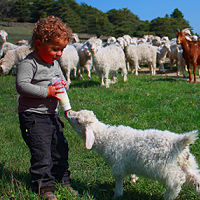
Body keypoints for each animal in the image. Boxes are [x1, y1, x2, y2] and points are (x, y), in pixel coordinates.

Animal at [67, 109, 200, 200]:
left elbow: (118, 178)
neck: (106, 137)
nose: (68, 113)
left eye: (78, 121)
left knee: (178, 179)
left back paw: (168, 196)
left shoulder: (118, 164)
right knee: (195, 178)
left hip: (165, 168)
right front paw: (133, 178)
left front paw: (117, 194)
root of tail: (178, 142)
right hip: (187, 163)